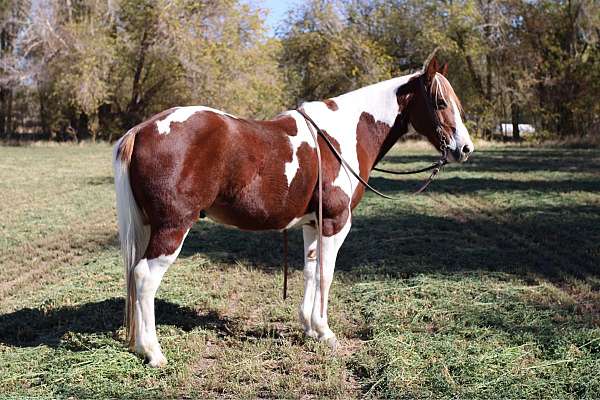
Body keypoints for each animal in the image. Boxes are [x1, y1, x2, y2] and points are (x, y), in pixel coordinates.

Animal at [113, 57, 474, 368]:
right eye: (440, 102)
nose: (465, 149)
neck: (341, 135)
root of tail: (142, 130)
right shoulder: (335, 223)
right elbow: (327, 275)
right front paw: (325, 332)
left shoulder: (311, 225)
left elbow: (311, 271)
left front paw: (309, 327)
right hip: (173, 227)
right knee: (144, 277)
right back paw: (153, 352)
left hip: (151, 226)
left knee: (135, 276)